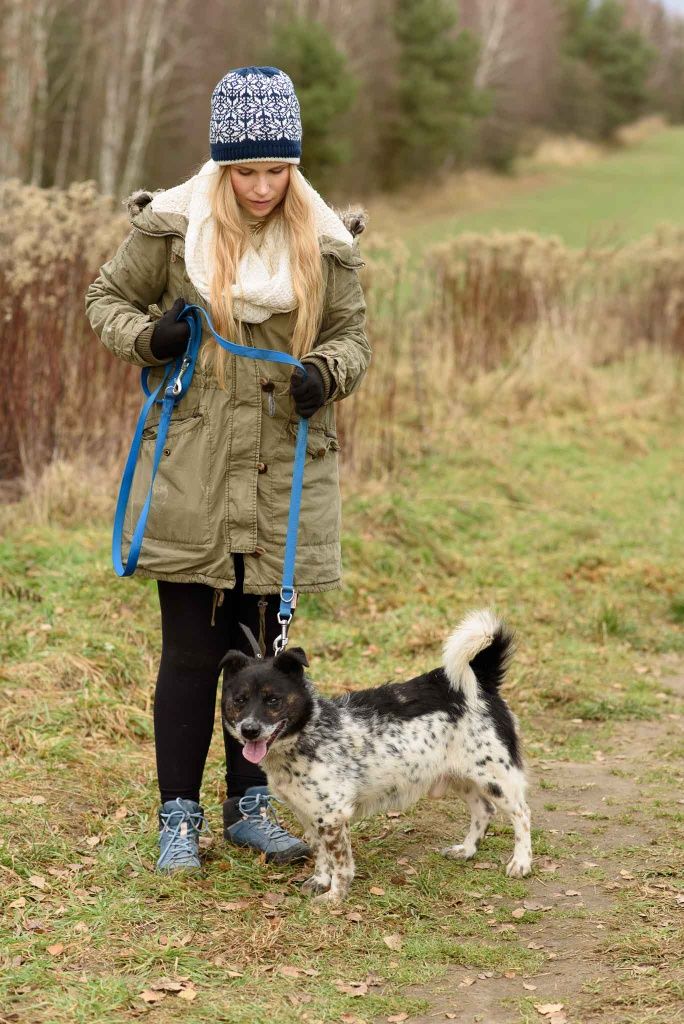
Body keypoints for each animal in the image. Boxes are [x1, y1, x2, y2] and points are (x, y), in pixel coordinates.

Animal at [222, 610, 532, 901]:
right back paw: (466, 850)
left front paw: (335, 896)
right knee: (484, 810)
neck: (307, 733)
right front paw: (320, 881)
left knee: (522, 814)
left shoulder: (333, 816)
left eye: (273, 700)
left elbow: (340, 863)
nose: (249, 730)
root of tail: (482, 682)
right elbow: (321, 853)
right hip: (459, 776)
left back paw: (521, 862)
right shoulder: (309, 814)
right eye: (239, 700)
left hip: (496, 777)